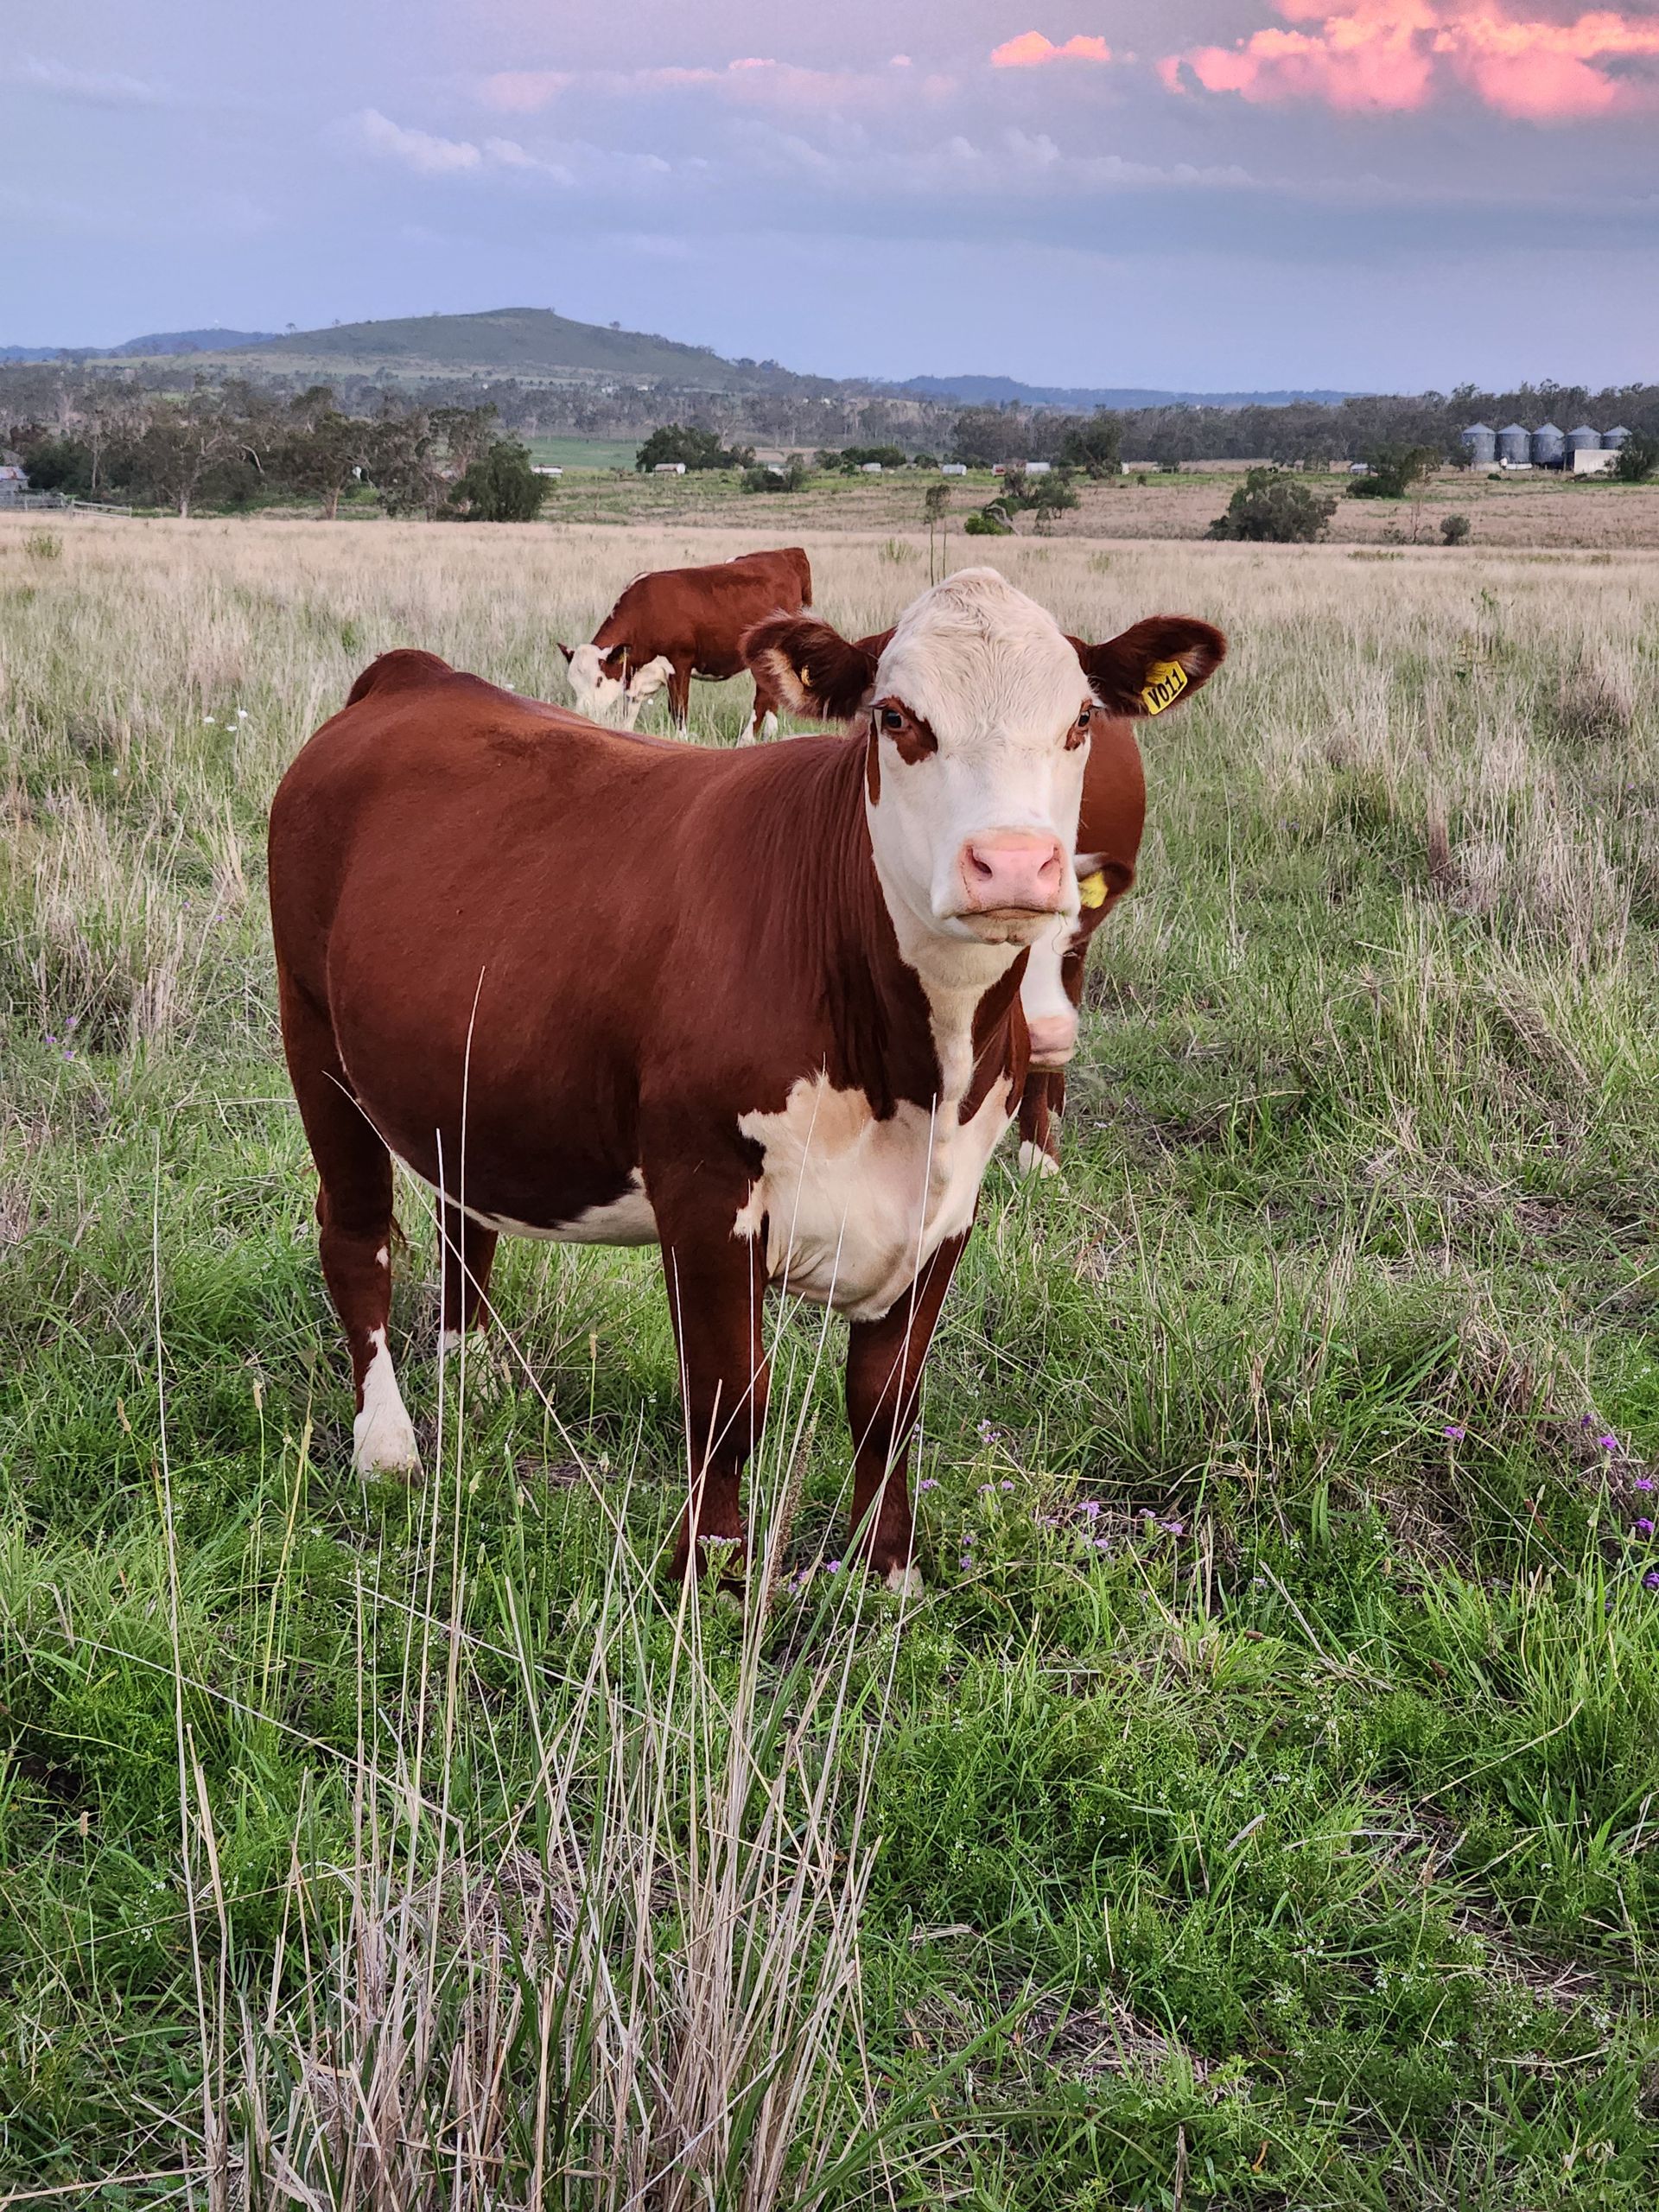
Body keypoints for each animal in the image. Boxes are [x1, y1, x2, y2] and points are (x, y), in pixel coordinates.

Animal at [268, 569, 1221, 1590]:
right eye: (895, 715)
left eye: (1081, 717)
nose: (1011, 863)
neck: (910, 1074)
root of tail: (417, 676)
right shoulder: (705, 1185)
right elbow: (730, 1397)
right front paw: (710, 1572)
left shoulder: (950, 1199)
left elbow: (888, 1399)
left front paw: (889, 1572)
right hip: (314, 1036)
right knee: (357, 1235)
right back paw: (387, 1444)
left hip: (467, 1070)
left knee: (463, 1212)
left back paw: (475, 1367)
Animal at [558, 546, 812, 739]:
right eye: (573, 683)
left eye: (599, 680)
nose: (582, 714)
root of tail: (786, 553)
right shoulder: (636, 678)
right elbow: (628, 714)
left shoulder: (679, 665)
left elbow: (678, 711)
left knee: (761, 698)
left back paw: (746, 740)